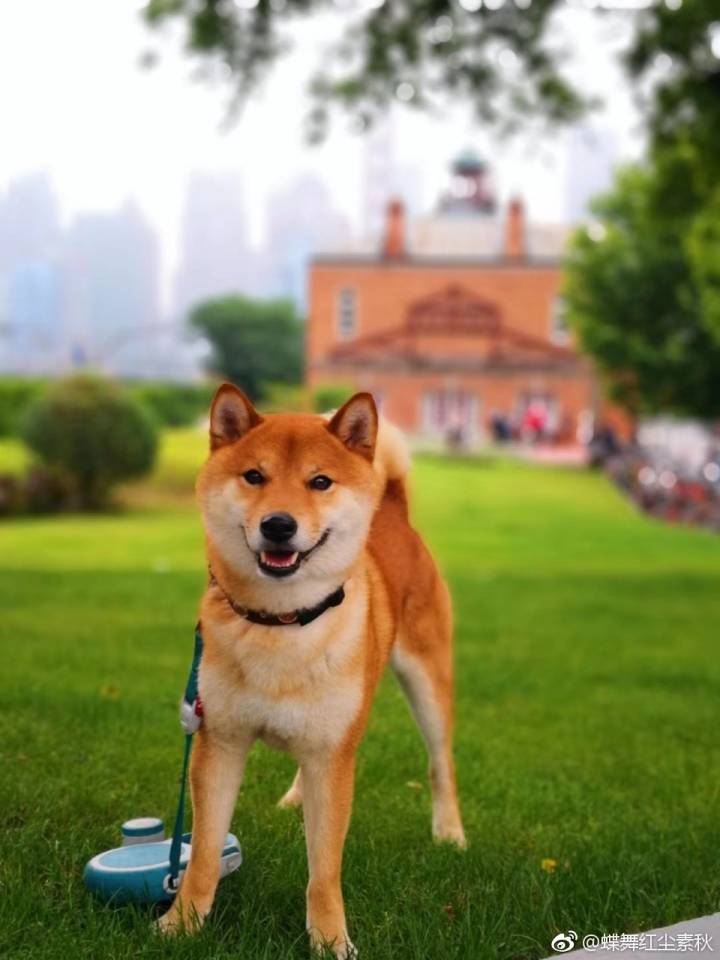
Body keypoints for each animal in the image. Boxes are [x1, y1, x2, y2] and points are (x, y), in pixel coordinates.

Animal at [160, 386, 466, 956]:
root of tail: (393, 511)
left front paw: (330, 941)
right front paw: (181, 923)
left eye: (319, 481)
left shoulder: (333, 756)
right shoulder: (220, 742)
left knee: (441, 763)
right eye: (254, 476)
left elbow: (323, 868)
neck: (281, 624)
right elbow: (205, 853)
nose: (278, 524)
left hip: (426, 684)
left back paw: (450, 833)